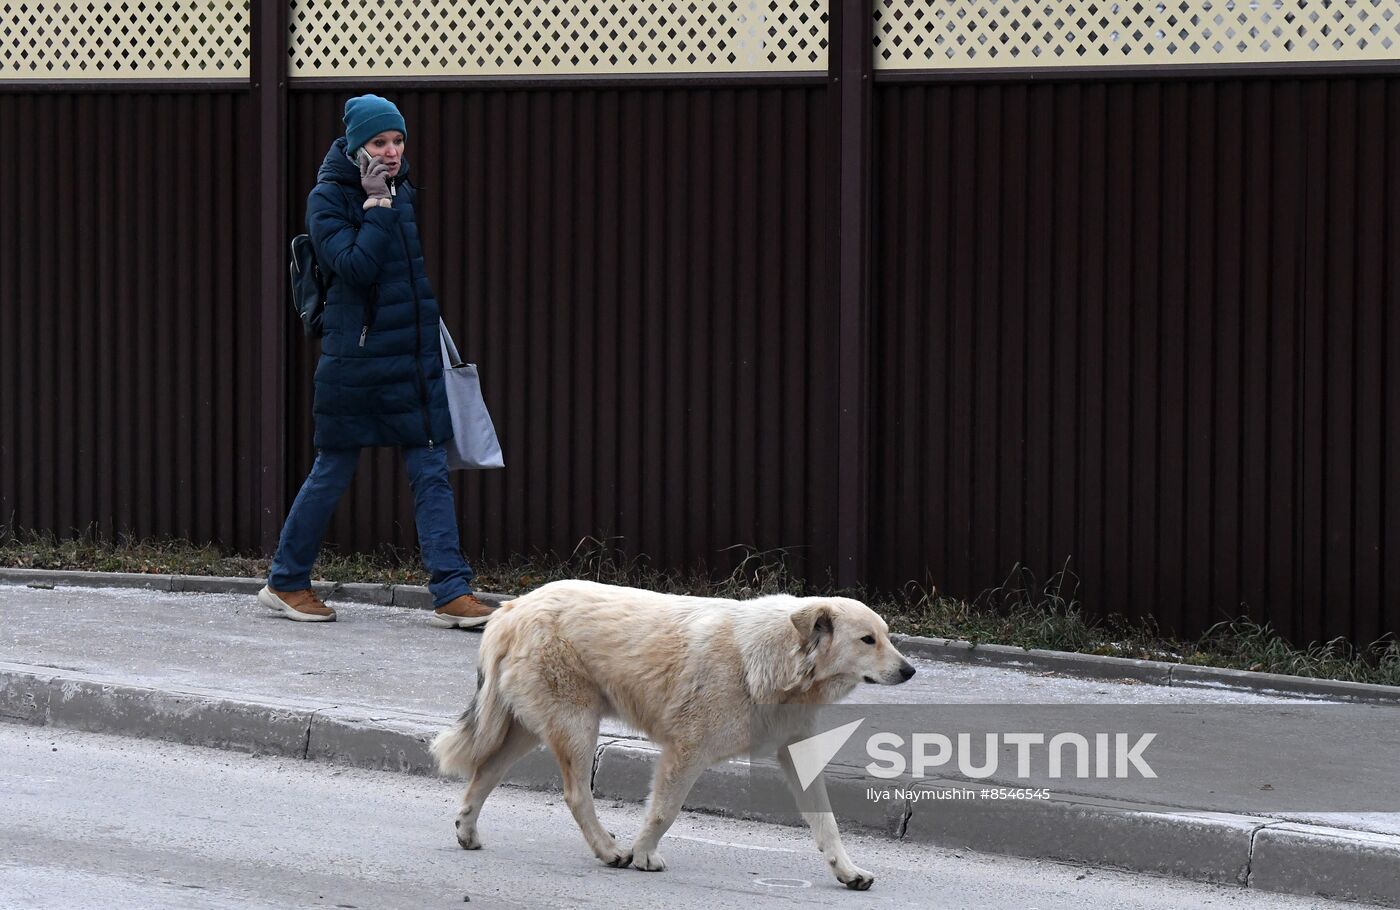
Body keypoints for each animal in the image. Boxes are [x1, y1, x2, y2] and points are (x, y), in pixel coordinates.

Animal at [431, 582, 912, 884]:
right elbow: (664, 811)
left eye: (888, 636)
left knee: (484, 774)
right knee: (575, 794)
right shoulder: (685, 754)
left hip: (528, 731)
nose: (910, 671)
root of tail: (512, 608)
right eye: (867, 640)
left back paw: (467, 832)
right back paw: (609, 850)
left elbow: (827, 823)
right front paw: (643, 855)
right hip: (576, 727)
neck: (771, 660)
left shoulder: (798, 755)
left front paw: (847, 872)